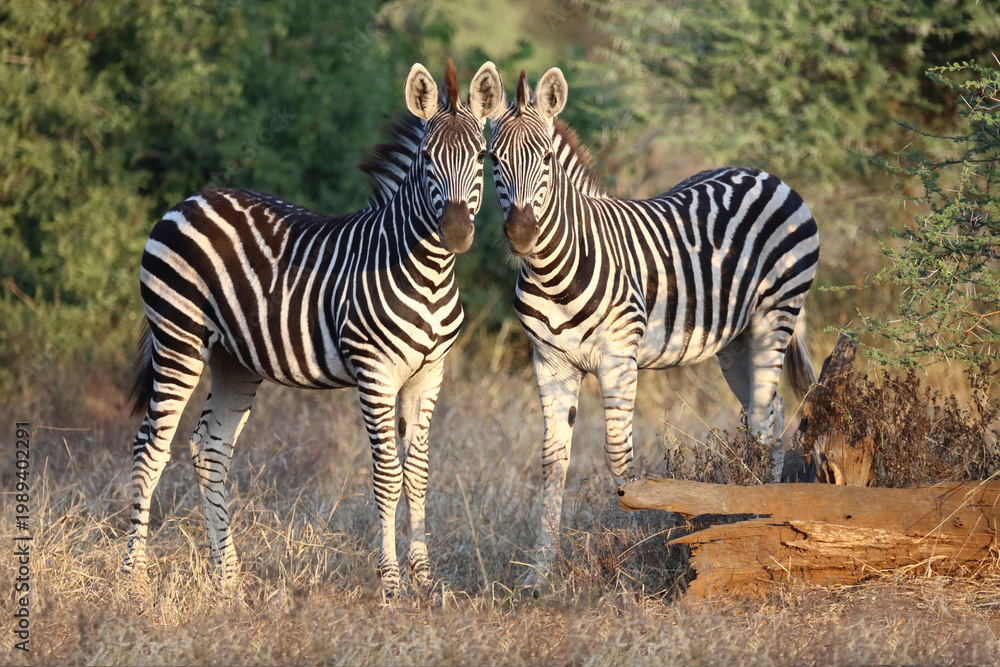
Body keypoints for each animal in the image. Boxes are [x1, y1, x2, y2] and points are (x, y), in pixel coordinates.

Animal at [122, 60, 504, 598]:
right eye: (427, 157)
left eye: (482, 156)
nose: (456, 233)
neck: (429, 274)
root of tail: (193, 198)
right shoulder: (374, 373)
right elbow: (388, 476)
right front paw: (391, 586)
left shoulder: (429, 376)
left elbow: (418, 474)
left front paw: (426, 584)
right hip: (178, 337)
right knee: (151, 447)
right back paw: (133, 580)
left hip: (234, 360)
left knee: (209, 450)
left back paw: (230, 580)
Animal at [487, 68, 819, 590]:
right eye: (493, 159)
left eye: (545, 159)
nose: (521, 234)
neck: (554, 269)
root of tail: (765, 173)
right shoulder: (549, 363)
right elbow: (552, 461)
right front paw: (539, 572)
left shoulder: (618, 358)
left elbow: (618, 455)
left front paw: (633, 557)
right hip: (735, 342)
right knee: (771, 412)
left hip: (776, 315)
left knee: (766, 419)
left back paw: (764, 518)